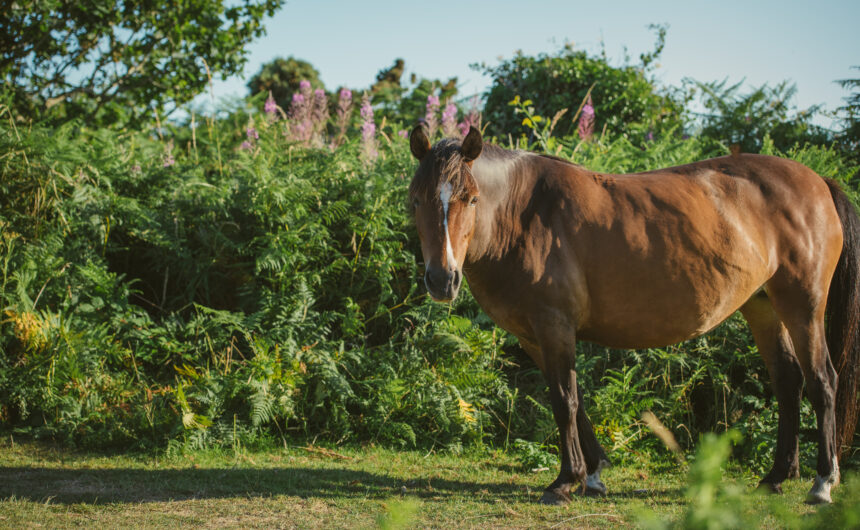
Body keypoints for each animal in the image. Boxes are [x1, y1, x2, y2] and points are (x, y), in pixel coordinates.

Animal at [408, 125, 860, 504]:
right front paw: (592, 475)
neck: (523, 215)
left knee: (822, 381)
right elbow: (574, 401)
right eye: (416, 201)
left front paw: (565, 481)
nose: (442, 279)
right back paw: (777, 476)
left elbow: (564, 401)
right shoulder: (534, 336)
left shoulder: (554, 326)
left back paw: (822, 482)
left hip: (803, 307)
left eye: (471, 198)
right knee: (788, 381)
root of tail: (819, 182)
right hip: (764, 306)